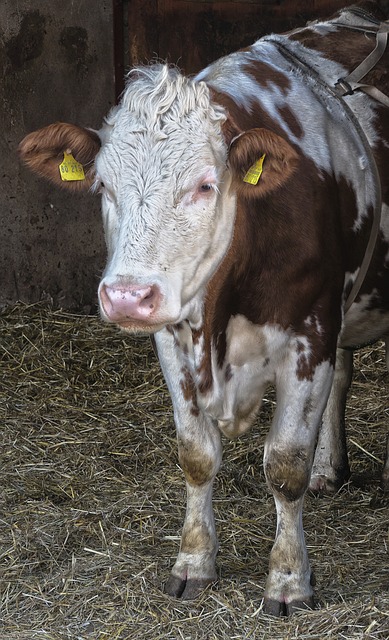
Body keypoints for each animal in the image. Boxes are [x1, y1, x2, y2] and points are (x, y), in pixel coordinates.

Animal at [19, 2, 388, 616]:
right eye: (104, 186)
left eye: (205, 185)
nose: (127, 295)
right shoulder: (173, 336)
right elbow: (196, 454)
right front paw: (194, 562)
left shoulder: (309, 333)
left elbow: (284, 462)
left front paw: (288, 579)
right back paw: (328, 470)